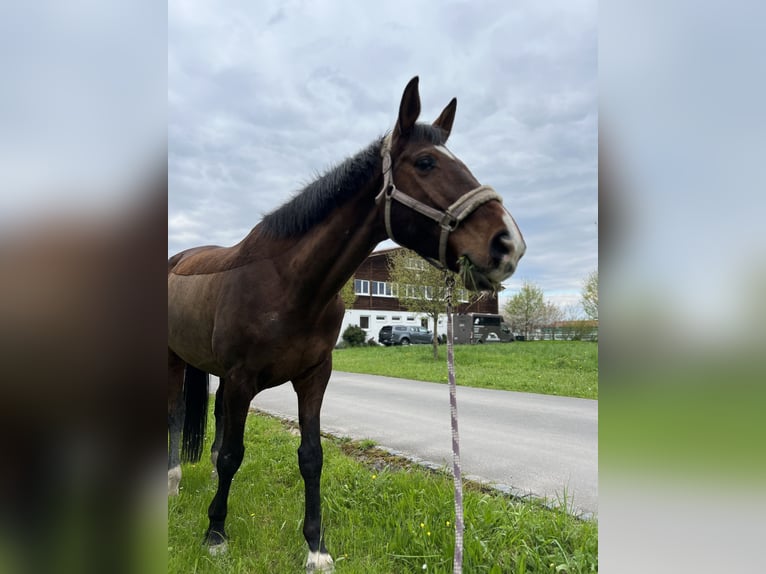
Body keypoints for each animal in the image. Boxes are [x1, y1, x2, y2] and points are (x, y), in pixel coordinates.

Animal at [168, 77, 528, 572]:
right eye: (426, 162)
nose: (508, 243)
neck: (290, 284)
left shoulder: (313, 376)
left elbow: (310, 457)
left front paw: (316, 548)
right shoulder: (242, 380)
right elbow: (232, 456)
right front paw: (216, 534)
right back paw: (169, 480)